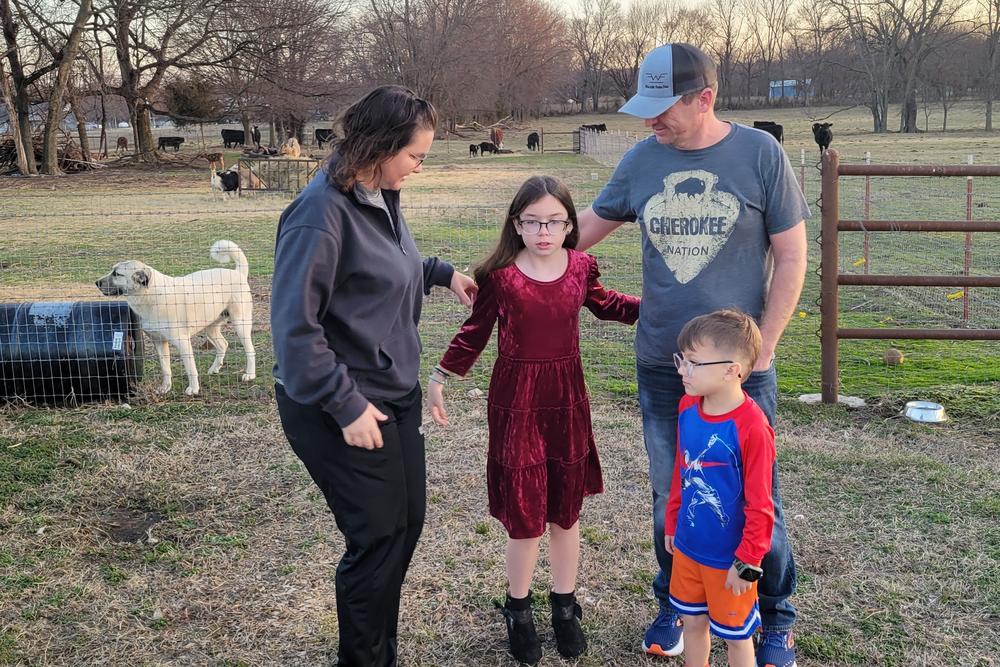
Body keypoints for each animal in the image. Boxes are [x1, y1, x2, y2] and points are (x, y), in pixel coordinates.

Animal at [96, 241, 256, 394]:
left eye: (117, 274)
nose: (96, 283)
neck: (150, 295)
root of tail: (238, 273)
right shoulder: (159, 342)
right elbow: (166, 369)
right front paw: (165, 388)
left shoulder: (183, 342)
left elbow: (190, 368)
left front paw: (194, 389)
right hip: (210, 327)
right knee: (223, 344)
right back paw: (214, 369)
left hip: (240, 325)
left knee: (250, 350)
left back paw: (250, 374)